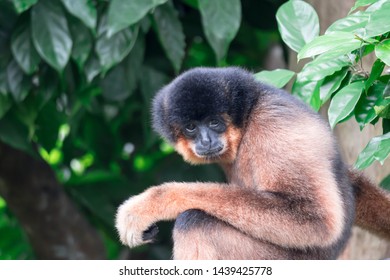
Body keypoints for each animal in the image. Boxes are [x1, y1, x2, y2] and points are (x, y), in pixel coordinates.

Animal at [116, 66, 390, 260]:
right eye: (191, 127)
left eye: (215, 122)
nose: (205, 140)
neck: (248, 118)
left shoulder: (274, 129)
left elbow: (315, 219)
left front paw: (150, 204)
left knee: (195, 222)